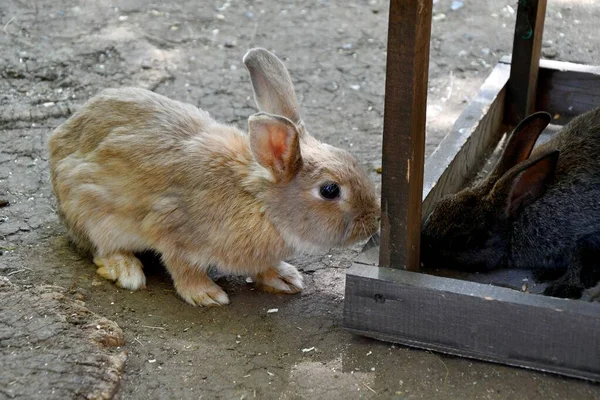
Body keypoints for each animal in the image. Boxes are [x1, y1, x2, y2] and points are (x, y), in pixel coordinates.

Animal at [51, 49, 380, 306]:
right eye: (329, 190)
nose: (374, 219)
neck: (261, 205)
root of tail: (58, 142)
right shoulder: (174, 230)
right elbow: (183, 267)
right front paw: (206, 294)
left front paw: (284, 278)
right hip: (91, 211)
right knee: (101, 246)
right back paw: (126, 270)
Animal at [420, 108, 600, 298]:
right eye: (439, 205)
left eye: (463, 239)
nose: (423, 246)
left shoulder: (585, 234)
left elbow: (578, 261)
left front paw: (564, 288)